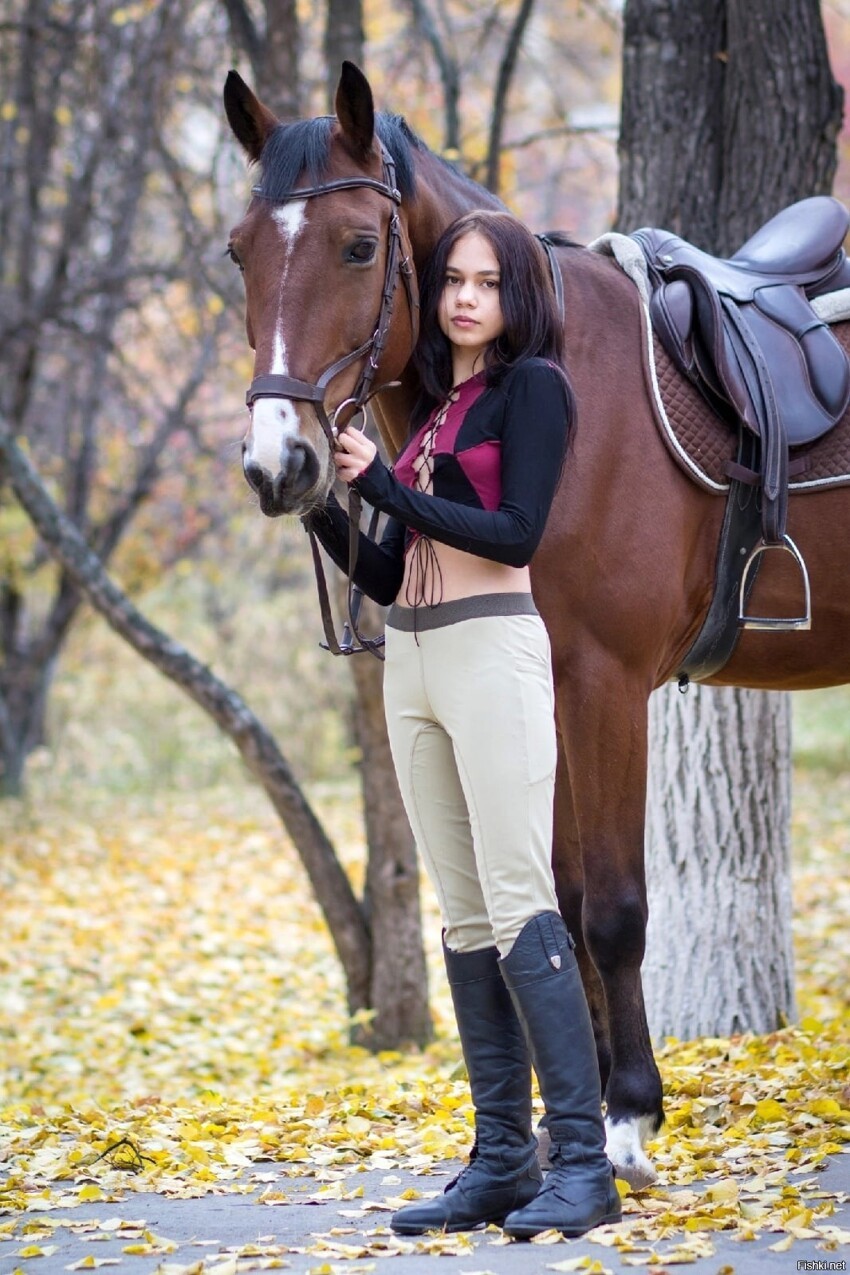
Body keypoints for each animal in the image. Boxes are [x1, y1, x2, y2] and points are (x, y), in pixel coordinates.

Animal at [223, 61, 850, 1188]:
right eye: (238, 251)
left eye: (360, 245)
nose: (278, 461)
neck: (551, 372)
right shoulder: (536, 682)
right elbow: (553, 895)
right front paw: (582, 1115)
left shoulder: (604, 685)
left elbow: (612, 907)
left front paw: (631, 1118)